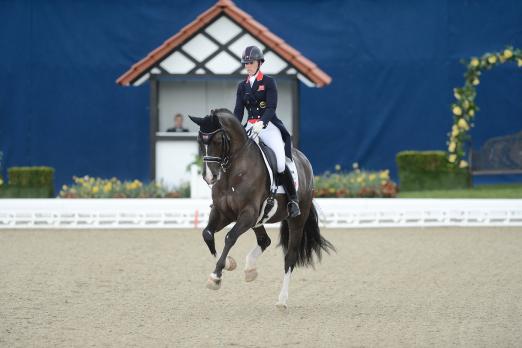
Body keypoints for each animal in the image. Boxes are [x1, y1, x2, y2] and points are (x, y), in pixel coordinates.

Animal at [187, 107, 334, 308]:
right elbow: (207, 234)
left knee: (290, 257)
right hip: (258, 219)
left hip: (296, 220)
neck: (232, 172)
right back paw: (250, 270)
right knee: (265, 241)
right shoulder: (223, 212)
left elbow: (229, 237)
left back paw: (282, 300)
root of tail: (304, 160)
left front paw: (215, 277)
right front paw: (229, 264)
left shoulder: (247, 213)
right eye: (200, 140)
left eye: (217, 140)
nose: (210, 177)